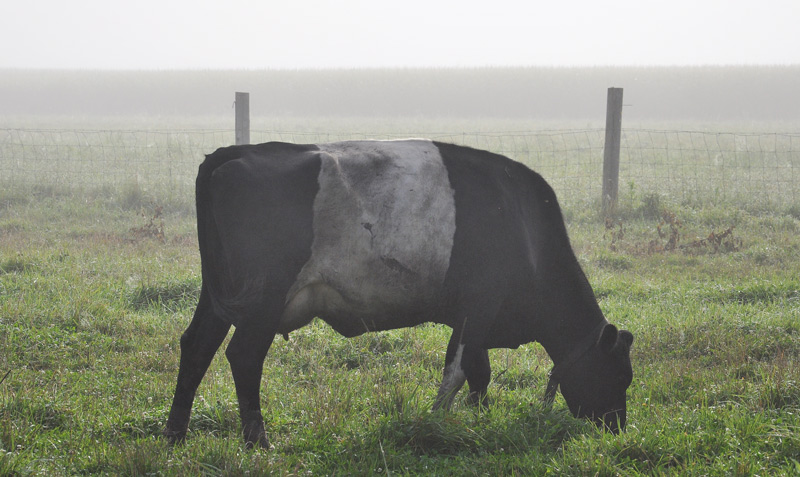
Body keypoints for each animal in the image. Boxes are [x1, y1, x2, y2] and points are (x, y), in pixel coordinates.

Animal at [164, 139, 634, 449]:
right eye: (621, 376)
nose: (617, 429)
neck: (526, 231)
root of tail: (234, 152)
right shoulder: (479, 308)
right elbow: (460, 371)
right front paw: (439, 421)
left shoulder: (473, 317)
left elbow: (478, 373)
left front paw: (477, 418)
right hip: (262, 300)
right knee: (242, 356)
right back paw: (258, 442)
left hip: (219, 296)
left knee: (196, 347)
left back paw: (175, 434)